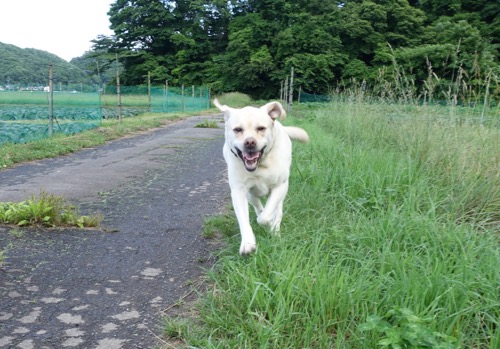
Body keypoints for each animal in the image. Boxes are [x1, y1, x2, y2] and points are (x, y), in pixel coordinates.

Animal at [214, 98, 308, 253]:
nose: (250, 142)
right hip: (251, 194)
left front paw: (269, 224)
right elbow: (245, 219)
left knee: (277, 211)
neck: (260, 165)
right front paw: (248, 243)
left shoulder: (279, 187)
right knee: (257, 206)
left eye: (261, 128)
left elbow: (266, 216)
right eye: (238, 129)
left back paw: (275, 231)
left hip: (283, 192)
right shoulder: (239, 191)